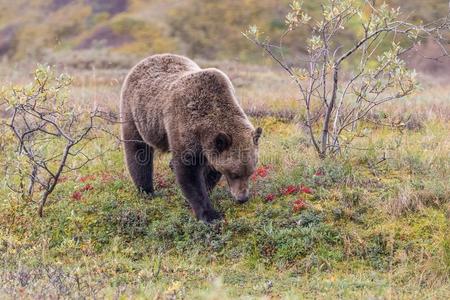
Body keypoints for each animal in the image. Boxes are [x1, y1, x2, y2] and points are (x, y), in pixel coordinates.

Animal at [119, 54, 262, 223]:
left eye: (250, 172)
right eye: (234, 173)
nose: (243, 198)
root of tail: (146, 60)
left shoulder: (209, 146)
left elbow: (209, 171)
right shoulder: (184, 126)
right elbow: (189, 172)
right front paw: (210, 214)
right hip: (136, 112)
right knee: (138, 152)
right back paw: (146, 190)